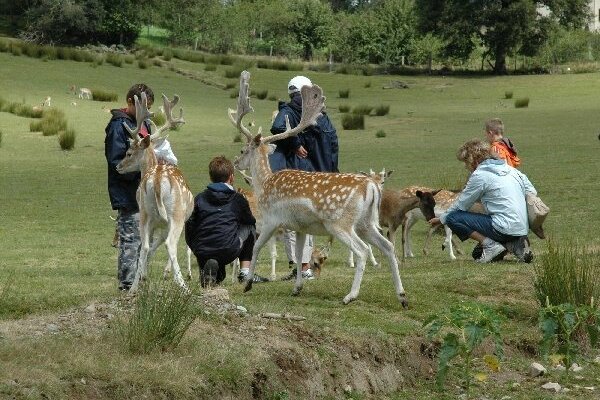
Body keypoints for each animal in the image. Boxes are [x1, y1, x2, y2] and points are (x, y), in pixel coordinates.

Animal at [115, 92, 192, 292]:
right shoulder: (166, 224)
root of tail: (157, 179)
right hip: (175, 215)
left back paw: (134, 287)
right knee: (170, 245)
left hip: (145, 213)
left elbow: (148, 248)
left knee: (144, 246)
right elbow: (160, 245)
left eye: (128, 153)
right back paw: (182, 285)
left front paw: (143, 276)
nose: (118, 166)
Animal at [230, 71, 408, 306]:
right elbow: (298, 255)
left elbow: (257, 246)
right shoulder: (300, 227)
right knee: (388, 246)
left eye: (243, 149)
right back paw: (402, 296)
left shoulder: (272, 219)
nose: (235, 162)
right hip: (366, 223)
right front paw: (296, 288)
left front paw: (248, 284)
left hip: (339, 223)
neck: (264, 186)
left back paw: (350, 296)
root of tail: (371, 186)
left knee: (362, 251)